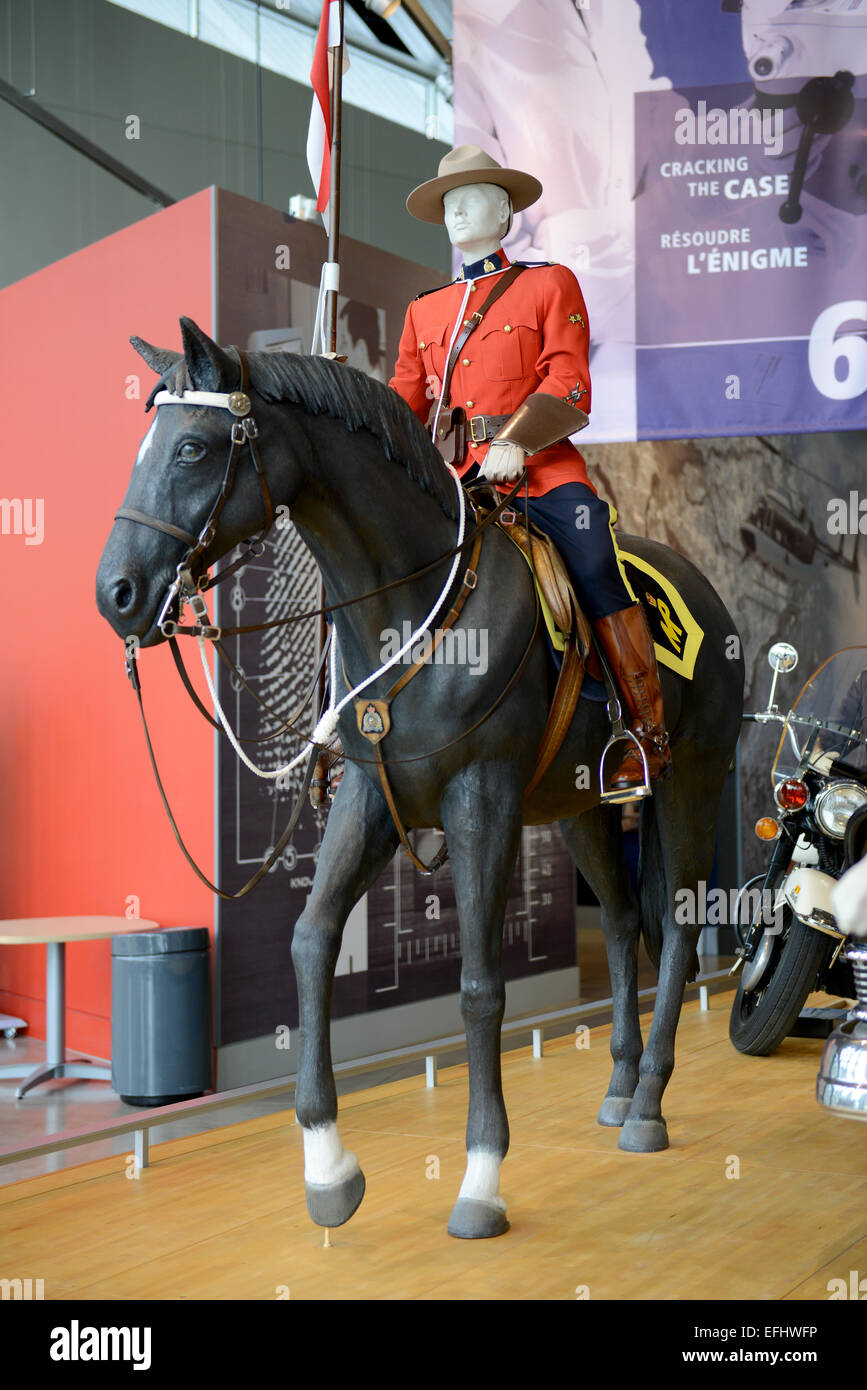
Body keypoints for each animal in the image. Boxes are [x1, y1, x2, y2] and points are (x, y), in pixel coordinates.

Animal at [94, 322, 744, 1239]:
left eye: (191, 447)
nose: (115, 593)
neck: (411, 603)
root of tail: (706, 593)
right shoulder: (369, 797)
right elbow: (310, 939)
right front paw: (327, 1166)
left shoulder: (483, 797)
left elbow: (479, 986)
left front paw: (480, 1177)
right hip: (580, 805)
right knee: (622, 926)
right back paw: (619, 1088)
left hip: (690, 782)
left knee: (679, 925)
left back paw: (649, 1101)